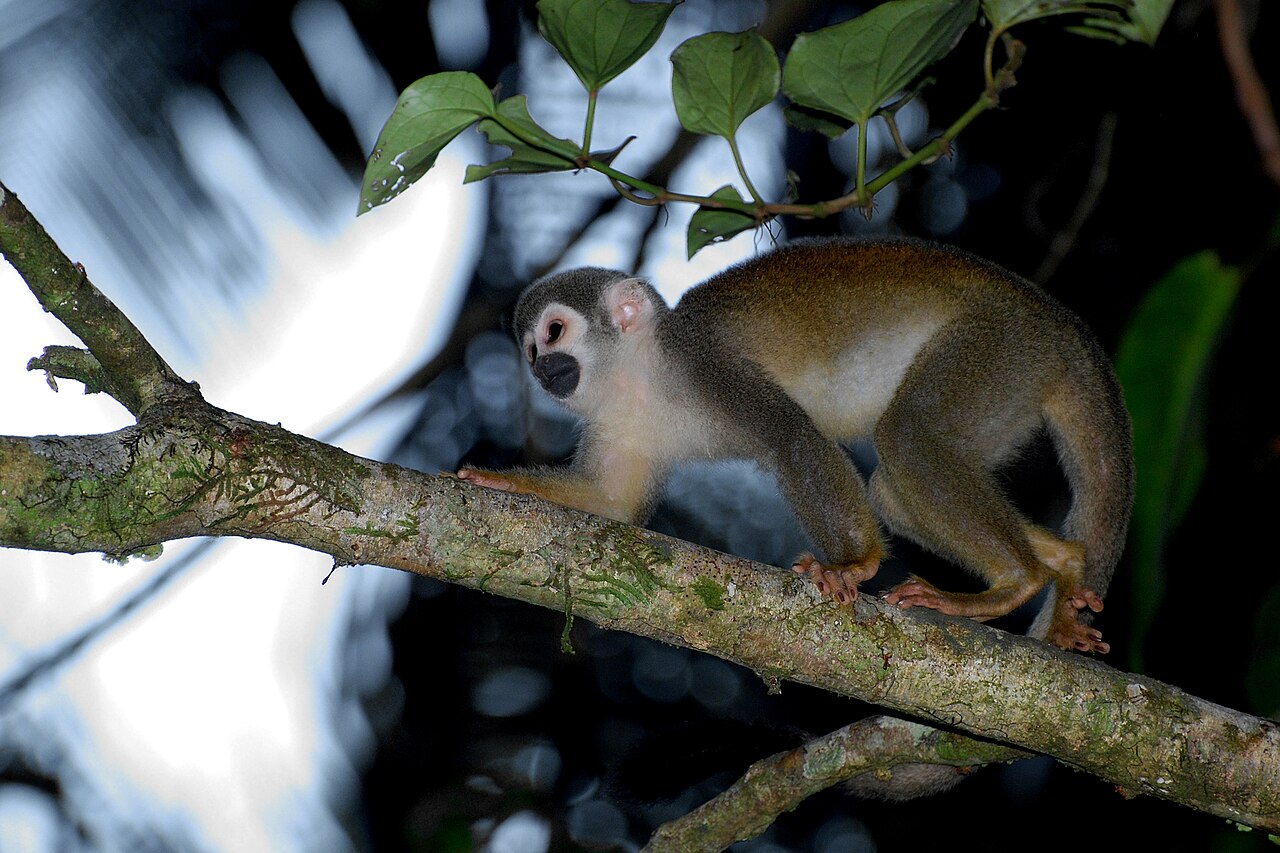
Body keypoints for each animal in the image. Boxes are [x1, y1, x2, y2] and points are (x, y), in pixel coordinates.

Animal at [458, 237, 1134, 653]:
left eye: (553, 333)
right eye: (530, 350)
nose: (542, 369)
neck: (639, 375)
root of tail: (1060, 326)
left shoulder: (709, 368)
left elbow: (792, 437)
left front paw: (854, 564)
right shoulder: (615, 421)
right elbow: (612, 504)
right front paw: (503, 481)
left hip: (996, 350)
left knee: (907, 438)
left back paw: (1017, 580)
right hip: (1009, 393)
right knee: (892, 487)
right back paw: (1063, 563)